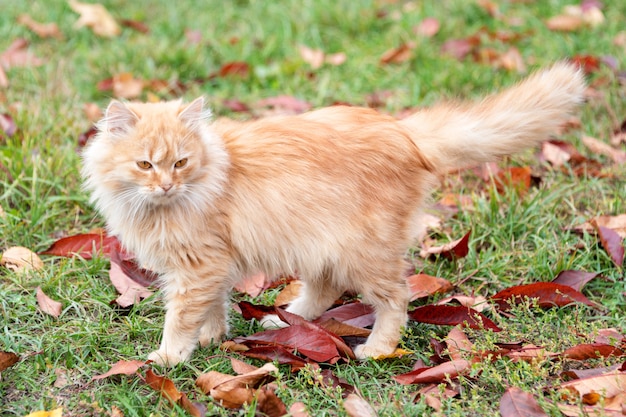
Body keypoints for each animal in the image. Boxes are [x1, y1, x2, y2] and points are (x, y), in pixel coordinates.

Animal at [80, 61, 584, 364]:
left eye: (181, 163)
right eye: (145, 165)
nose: (167, 185)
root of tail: (401, 130)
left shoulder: (198, 266)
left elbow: (181, 317)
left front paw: (168, 358)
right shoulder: (212, 265)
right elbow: (214, 306)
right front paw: (212, 337)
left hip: (362, 250)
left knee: (396, 299)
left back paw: (376, 349)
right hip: (319, 243)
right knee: (324, 289)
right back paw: (284, 318)